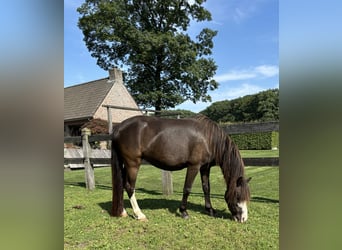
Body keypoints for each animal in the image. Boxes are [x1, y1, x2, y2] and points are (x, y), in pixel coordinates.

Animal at [111, 115, 250, 223]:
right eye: (238, 196)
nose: (243, 219)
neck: (209, 138)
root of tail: (119, 128)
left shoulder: (205, 167)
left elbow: (206, 188)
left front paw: (210, 209)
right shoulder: (194, 166)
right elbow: (187, 189)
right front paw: (184, 212)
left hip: (125, 164)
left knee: (122, 185)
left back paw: (123, 212)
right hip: (133, 164)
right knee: (130, 187)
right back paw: (139, 214)